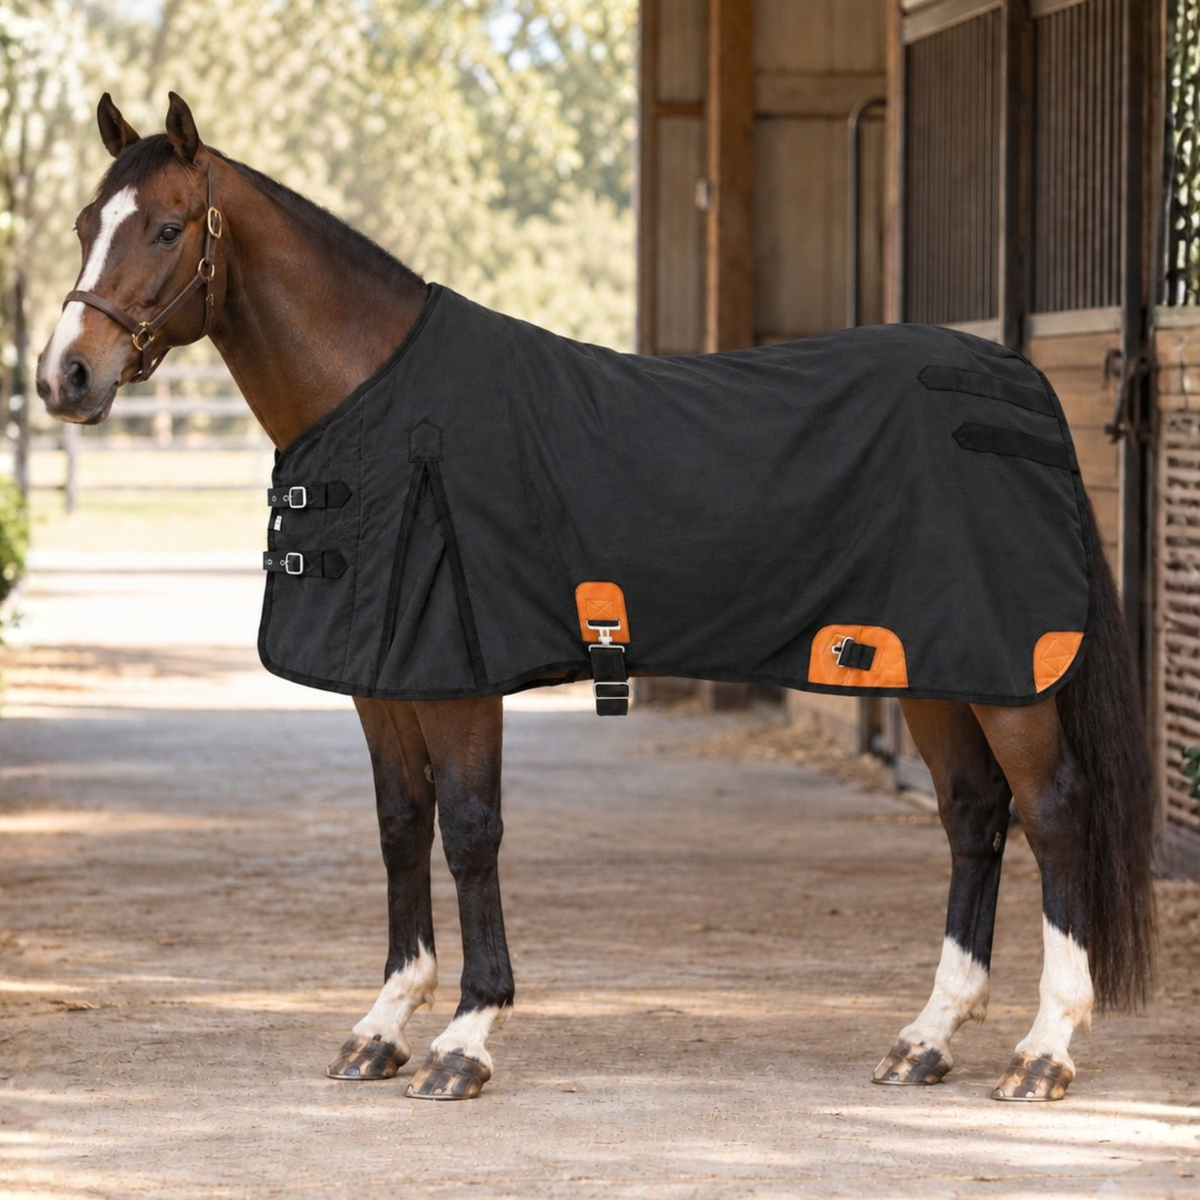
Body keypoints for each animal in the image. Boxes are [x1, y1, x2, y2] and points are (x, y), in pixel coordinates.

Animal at [35, 93, 1155, 1102]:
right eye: (88, 223)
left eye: (167, 227)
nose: (64, 377)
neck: (383, 411)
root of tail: (1017, 383)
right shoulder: (380, 682)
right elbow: (400, 829)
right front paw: (381, 1027)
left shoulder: (459, 681)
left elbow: (469, 832)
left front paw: (464, 1040)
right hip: (930, 665)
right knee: (972, 814)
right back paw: (927, 1037)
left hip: (1008, 677)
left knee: (1053, 813)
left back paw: (1044, 1050)